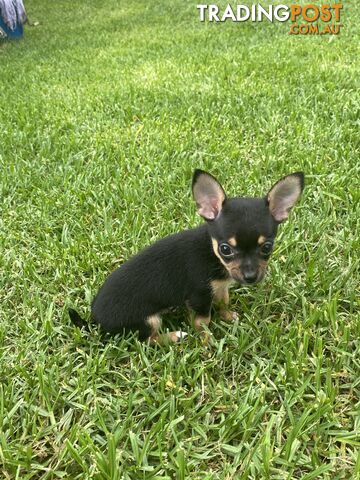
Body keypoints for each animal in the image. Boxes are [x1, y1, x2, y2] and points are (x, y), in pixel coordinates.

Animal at [69, 171, 304, 344]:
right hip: (148, 321)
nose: (250, 277)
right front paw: (207, 341)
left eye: (267, 247)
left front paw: (228, 316)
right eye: (226, 249)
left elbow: (223, 302)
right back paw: (174, 336)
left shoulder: (219, 287)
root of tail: (95, 321)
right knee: (148, 340)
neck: (212, 253)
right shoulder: (199, 296)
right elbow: (203, 321)